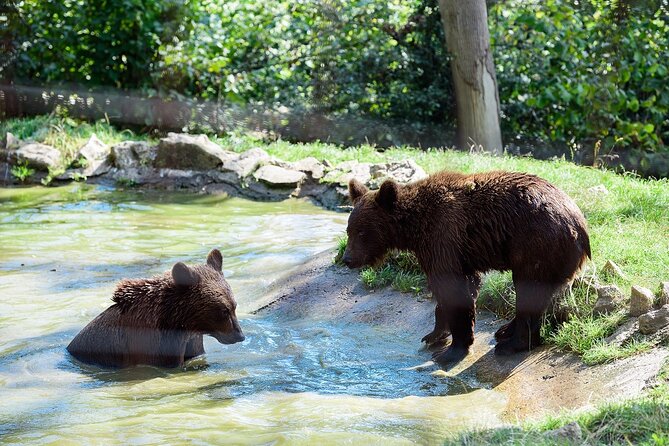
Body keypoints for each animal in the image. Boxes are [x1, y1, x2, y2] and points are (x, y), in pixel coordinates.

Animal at [341, 170, 590, 365]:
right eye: (349, 230)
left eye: (362, 232)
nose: (347, 259)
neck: (414, 228)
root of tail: (580, 225)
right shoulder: (454, 253)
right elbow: (459, 288)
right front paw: (434, 335)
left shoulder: (444, 236)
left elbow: (453, 288)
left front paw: (453, 349)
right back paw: (505, 331)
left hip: (535, 244)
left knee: (528, 289)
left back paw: (512, 343)